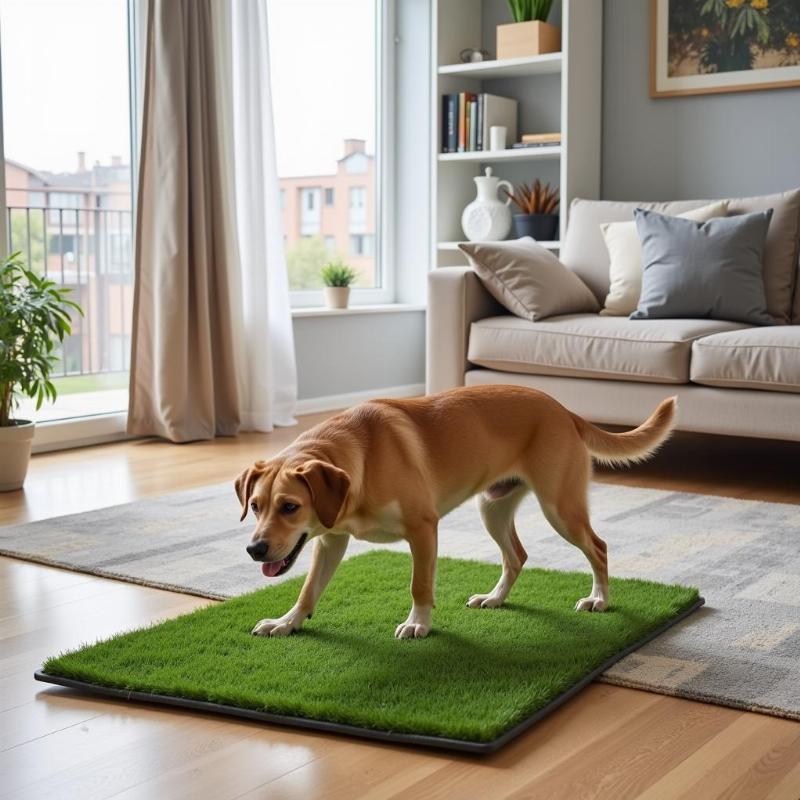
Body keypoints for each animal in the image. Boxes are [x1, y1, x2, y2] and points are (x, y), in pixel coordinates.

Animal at [236, 384, 676, 640]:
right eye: (255, 506)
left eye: (290, 507)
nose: (255, 550)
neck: (362, 456)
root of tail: (563, 409)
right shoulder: (331, 540)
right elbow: (308, 590)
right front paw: (287, 622)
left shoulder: (422, 530)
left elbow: (420, 586)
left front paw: (418, 623)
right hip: (492, 507)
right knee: (517, 556)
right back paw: (495, 598)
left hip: (560, 509)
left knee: (598, 547)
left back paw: (599, 599)